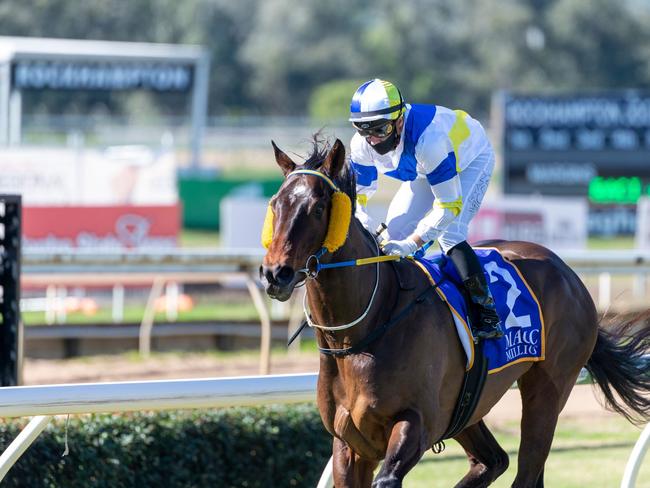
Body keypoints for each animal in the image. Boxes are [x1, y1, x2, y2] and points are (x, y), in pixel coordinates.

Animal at [258, 137, 648, 488]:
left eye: (317, 208)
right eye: (275, 204)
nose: (276, 273)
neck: (362, 330)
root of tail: (566, 271)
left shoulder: (416, 424)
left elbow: (388, 477)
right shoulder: (350, 445)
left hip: (549, 388)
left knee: (526, 470)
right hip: (468, 406)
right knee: (494, 461)